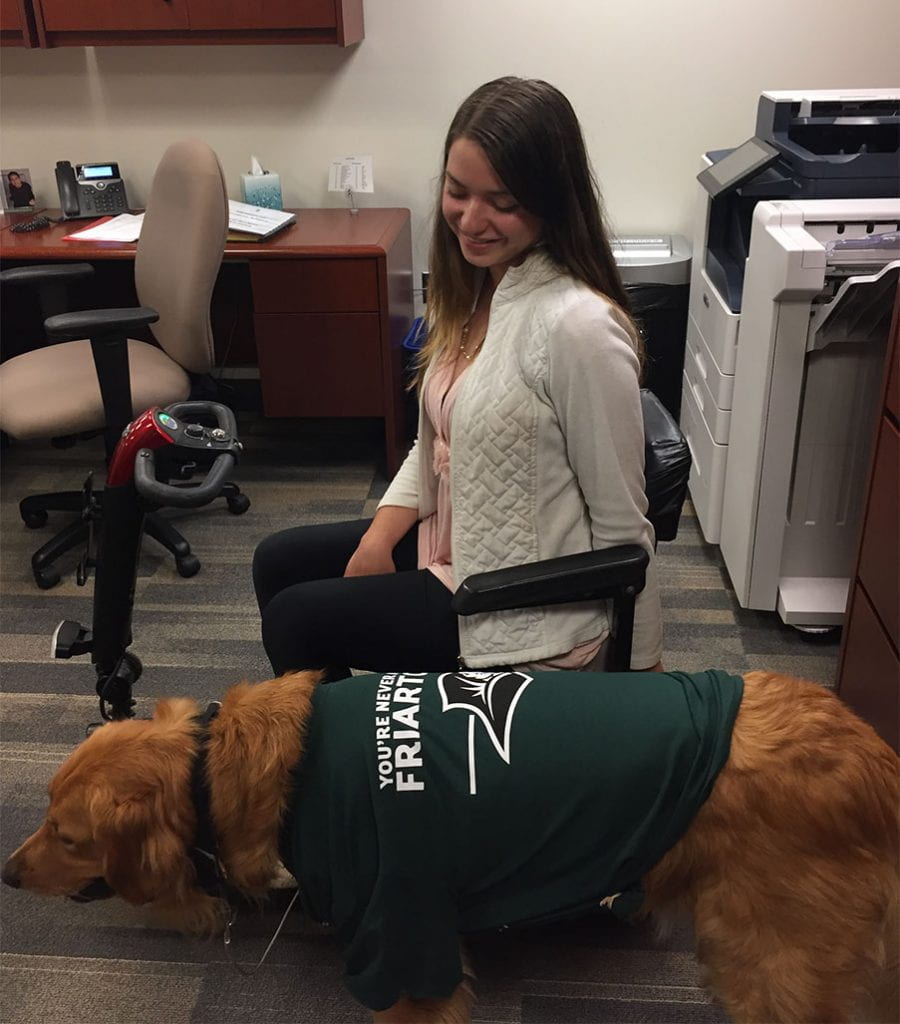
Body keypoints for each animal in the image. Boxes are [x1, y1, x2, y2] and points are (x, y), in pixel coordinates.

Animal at [1, 667, 900, 1019]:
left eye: (66, 834)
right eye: (42, 811)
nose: (6, 872)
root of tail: (876, 761)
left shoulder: (406, 943)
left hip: (773, 972)